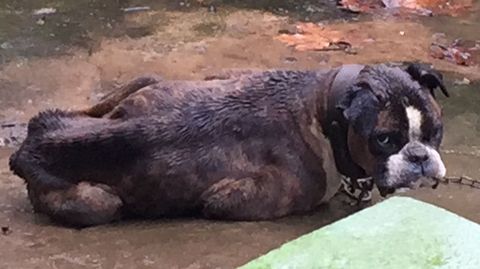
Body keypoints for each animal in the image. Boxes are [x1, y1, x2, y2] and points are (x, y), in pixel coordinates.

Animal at [8, 63, 450, 226]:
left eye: (435, 132)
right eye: (383, 140)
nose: (419, 157)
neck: (325, 113)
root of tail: (33, 144)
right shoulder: (230, 200)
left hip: (143, 82)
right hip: (98, 204)